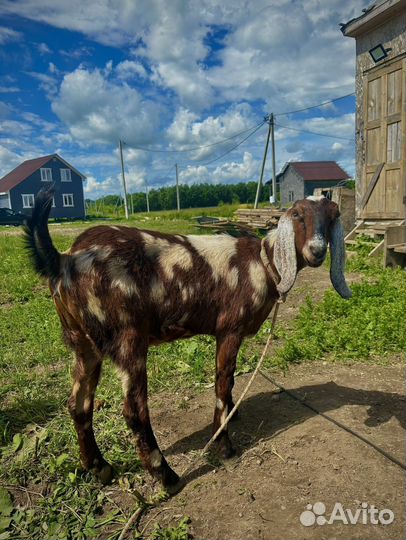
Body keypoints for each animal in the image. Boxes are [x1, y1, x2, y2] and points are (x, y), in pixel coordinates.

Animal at [24, 190, 352, 494]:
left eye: (333, 216)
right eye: (297, 215)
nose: (317, 251)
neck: (262, 262)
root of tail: (64, 260)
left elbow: (230, 383)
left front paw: (232, 415)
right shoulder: (229, 329)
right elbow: (222, 384)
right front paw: (224, 445)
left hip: (84, 344)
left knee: (78, 404)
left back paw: (99, 467)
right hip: (128, 338)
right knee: (134, 411)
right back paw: (166, 476)